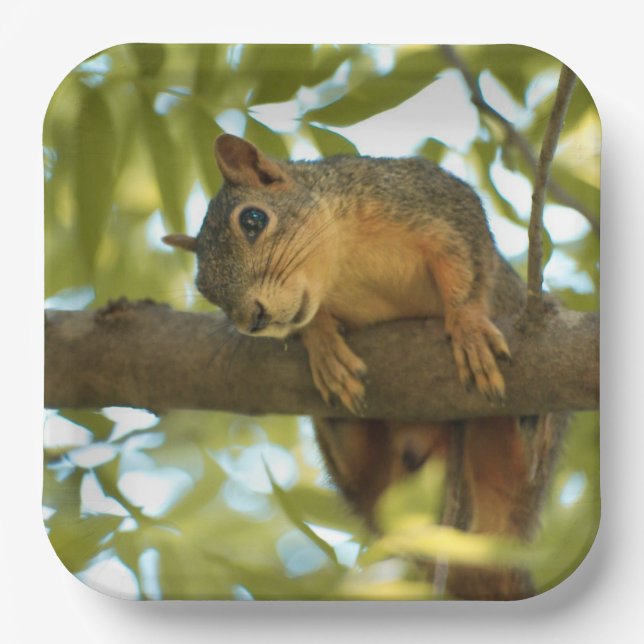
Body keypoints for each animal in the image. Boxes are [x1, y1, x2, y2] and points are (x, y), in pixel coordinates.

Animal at [164, 134, 566, 600]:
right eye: (204, 288)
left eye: (252, 219)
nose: (253, 320)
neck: (340, 265)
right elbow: (312, 321)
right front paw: (322, 343)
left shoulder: (432, 200)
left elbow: (465, 264)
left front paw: (466, 325)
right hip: (383, 488)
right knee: (361, 465)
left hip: (520, 468)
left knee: (522, 466)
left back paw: (529, 420)